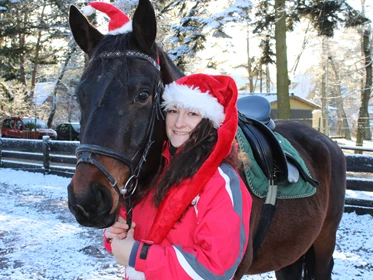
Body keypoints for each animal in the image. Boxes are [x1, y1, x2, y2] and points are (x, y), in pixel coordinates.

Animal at [66, 1, 346, 278]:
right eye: (80, 96)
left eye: (143, 94)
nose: (87, 200)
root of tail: (329, 143)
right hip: (290, 253)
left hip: (324, 243)